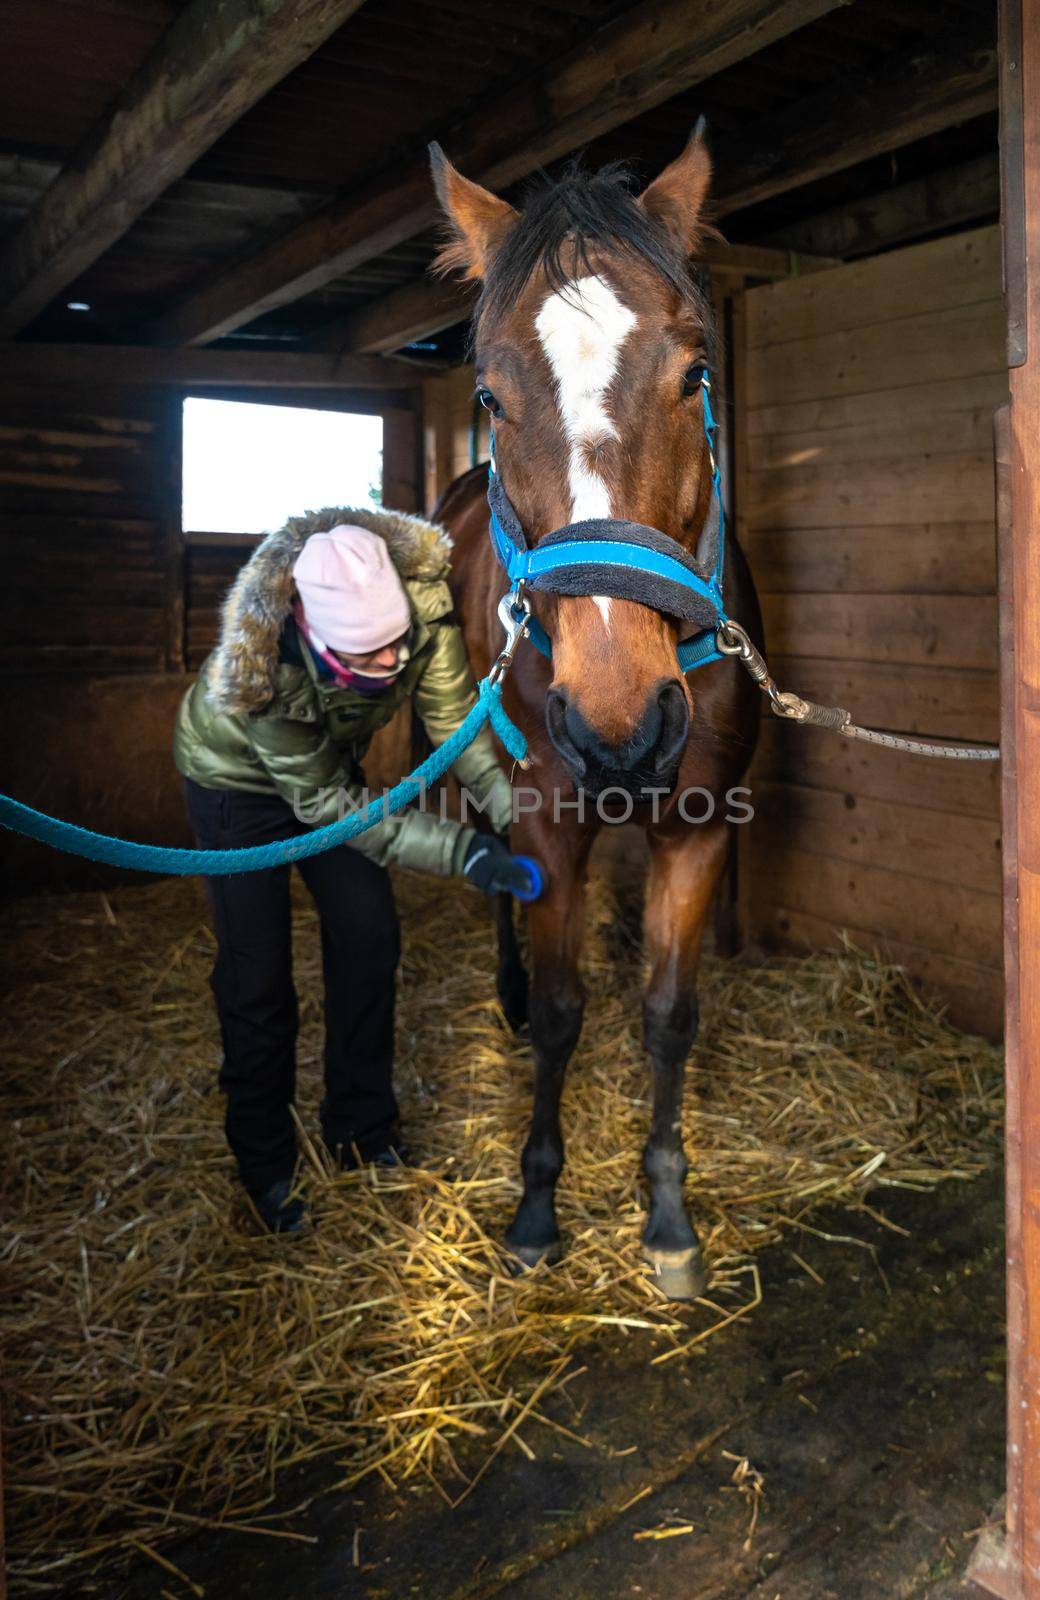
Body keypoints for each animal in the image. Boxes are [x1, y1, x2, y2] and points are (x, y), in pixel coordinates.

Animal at [428, 128, 761, 1299]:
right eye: (489, 395)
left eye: (696, 371)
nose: (618, 723)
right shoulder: (547, 823)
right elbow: (565, 1013)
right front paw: (536, 1208)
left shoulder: (699, 831)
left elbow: (667, 1015)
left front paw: (665, 1214)